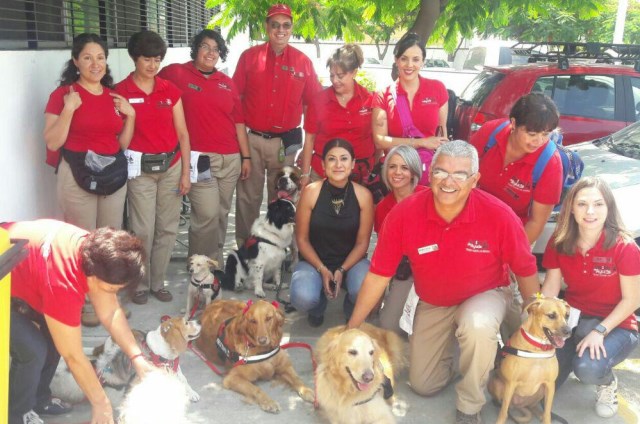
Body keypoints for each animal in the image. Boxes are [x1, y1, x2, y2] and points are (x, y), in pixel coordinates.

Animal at [52, 318, 202, 404]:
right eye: (186, 322)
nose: (200, 320)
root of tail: (106, 341)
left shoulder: (176, 368)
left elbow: (184, 380)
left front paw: (191, 392)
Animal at [488, 294, 572, 424]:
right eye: (551, 315)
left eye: (567, 315)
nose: (569, 332)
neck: (538, 348)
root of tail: (519, 405)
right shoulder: (511, 384)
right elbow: (503, 414)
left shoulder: (550, 384)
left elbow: (547, 413)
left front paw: (546, 418)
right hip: (497, 384)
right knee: (504, 407)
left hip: (541, 391)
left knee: (535, 408)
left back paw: (538, 414)